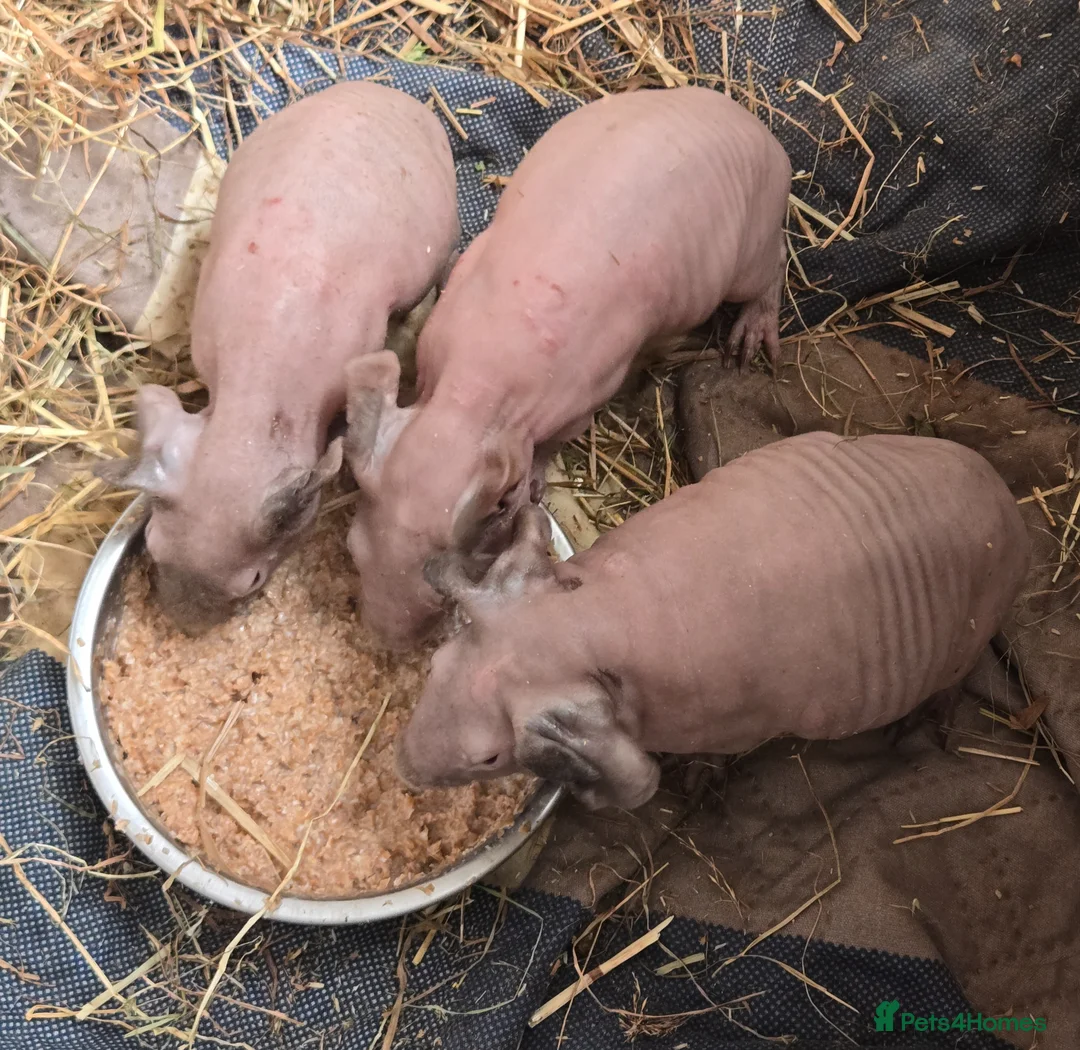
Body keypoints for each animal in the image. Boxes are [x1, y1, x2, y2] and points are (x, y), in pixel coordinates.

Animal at [341, 85, 792, 649]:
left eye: (442, 590)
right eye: (353, 548)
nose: (385, 638)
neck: (472, 393)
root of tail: (764, 134)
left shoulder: (587, 395)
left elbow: (550, 446)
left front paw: (535, 483)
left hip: (749, 251)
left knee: (775, 261)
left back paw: (753, 337)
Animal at [397, 431, 1030, 811]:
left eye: (489, 758)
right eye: (437, 665)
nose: (403, 766)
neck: (597, 617)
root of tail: (1008, 501)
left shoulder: (738, 726)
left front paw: (699, 782)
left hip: (966, 640)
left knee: (953, 686)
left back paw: (921, 727)